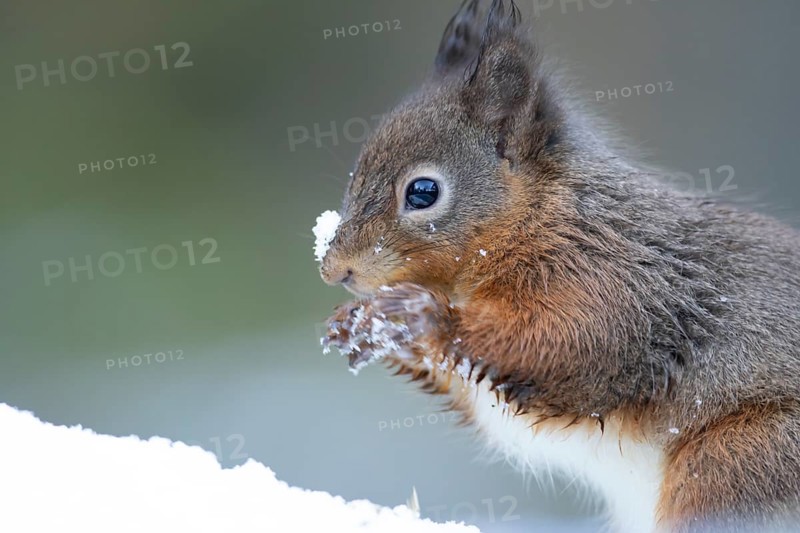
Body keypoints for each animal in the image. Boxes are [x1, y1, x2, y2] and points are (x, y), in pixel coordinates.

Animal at [317, 1, 800, 531]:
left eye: (423, 192)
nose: (334, 270)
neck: (543, 214)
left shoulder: (613, 281)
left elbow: (568, 344)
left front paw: (421, 316)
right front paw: (360, 325)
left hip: (737, 460)